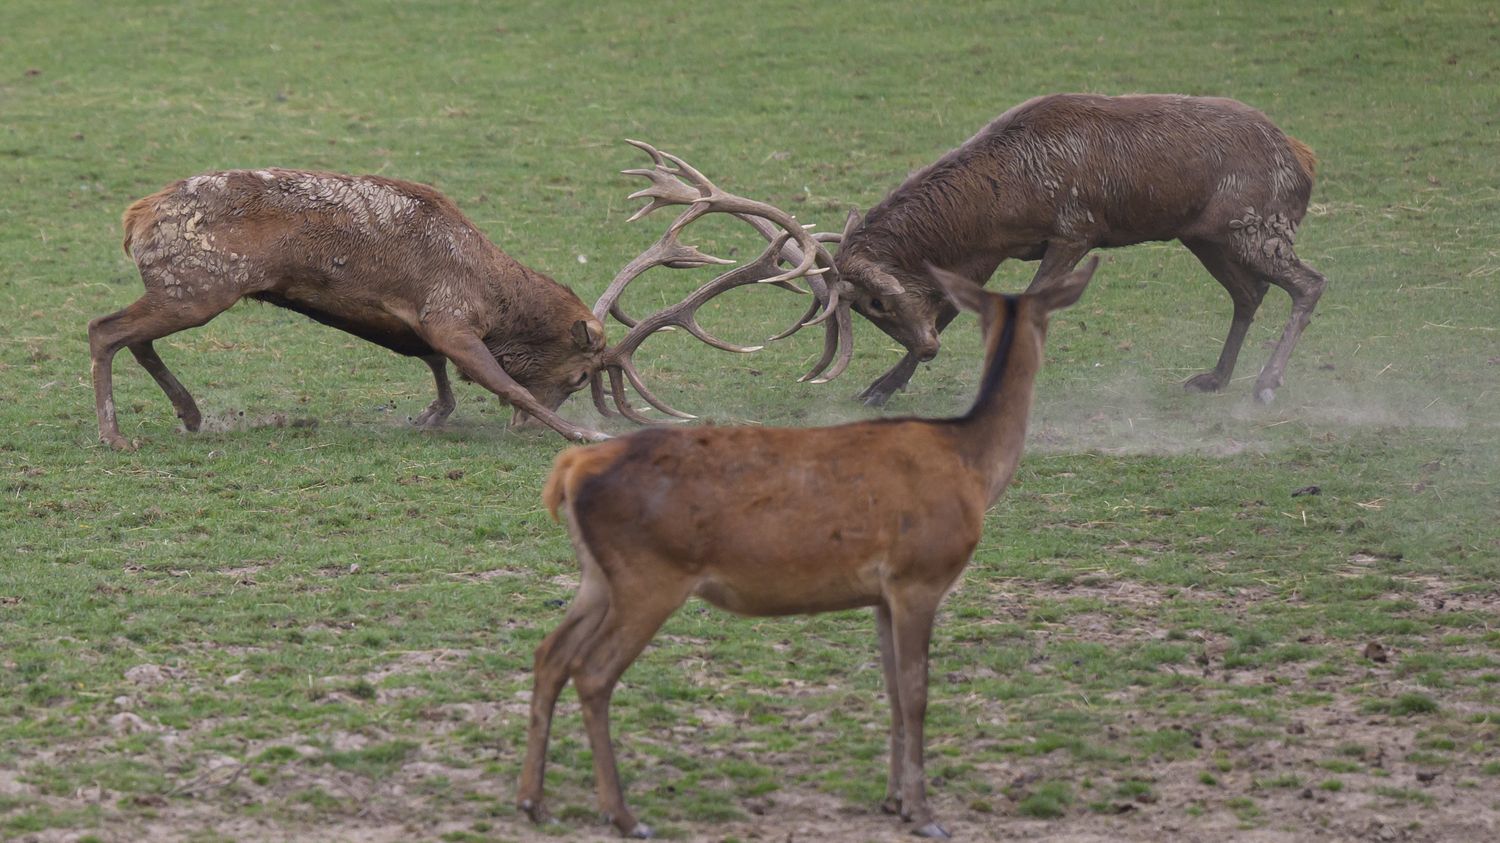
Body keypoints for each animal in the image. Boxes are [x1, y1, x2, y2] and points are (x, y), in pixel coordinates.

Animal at [86, 157, 828, 447]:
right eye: (580, 375)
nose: (527, 428)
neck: (500, 301)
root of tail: (136, 213)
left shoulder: (419, 323)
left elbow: (431, 365)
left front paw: (435, 412)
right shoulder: (451, 315)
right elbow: (499, 379)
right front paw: (579, 432)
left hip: (184, 288)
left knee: (134, 335)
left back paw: (189, 413)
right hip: (202, 284)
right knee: (103, 328)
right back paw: (117, 434)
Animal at [522, 247, 1110, 834]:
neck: (973, 466)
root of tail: (571, 469)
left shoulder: (882, 595)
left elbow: (892, 690)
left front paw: (892, 800)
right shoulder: (919, 577)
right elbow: (917, 693)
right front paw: (923, 813)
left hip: (598, 577)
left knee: (550, 653)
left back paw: (535, 802)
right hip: (650, 577)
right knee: (593, 673)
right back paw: (623, 814)